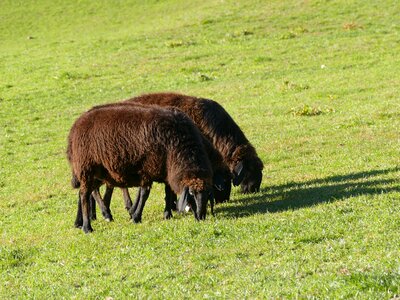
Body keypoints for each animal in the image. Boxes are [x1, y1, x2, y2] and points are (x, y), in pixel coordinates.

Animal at [67, 104, 214, 233]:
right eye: (191, 194)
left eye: (207, 194)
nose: (201, 217)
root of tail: (76, 126)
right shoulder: (148, 169)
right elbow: (144, 194)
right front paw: (136, 216)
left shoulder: (166, 170)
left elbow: (168, 192)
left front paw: (167, 214)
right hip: (87, 168)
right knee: (84, 195)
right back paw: (88, 227)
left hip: (99, 173)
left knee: (84, 193)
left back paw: (80, 222)